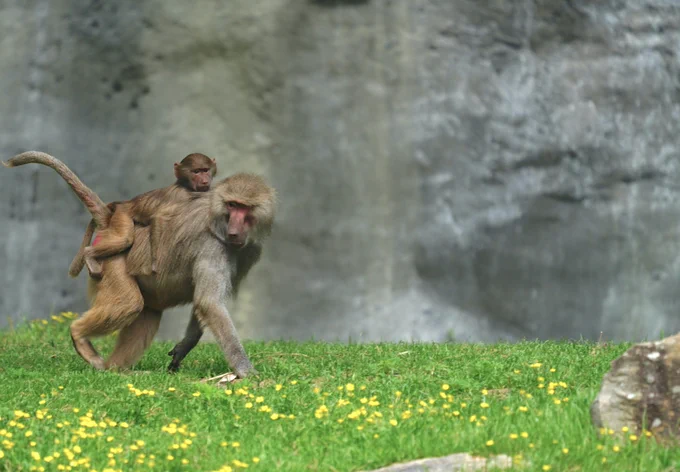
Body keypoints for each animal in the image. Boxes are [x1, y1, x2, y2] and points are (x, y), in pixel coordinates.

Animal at [69, 152, 217, 278]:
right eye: (196, 172)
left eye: (205, 170)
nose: (205, 181)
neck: (186, 186)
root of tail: (126, 203)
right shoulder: (183, 197)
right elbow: (158, 217)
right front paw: (154, 264)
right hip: (122, 215)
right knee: (125, 239)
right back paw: (88, 253)